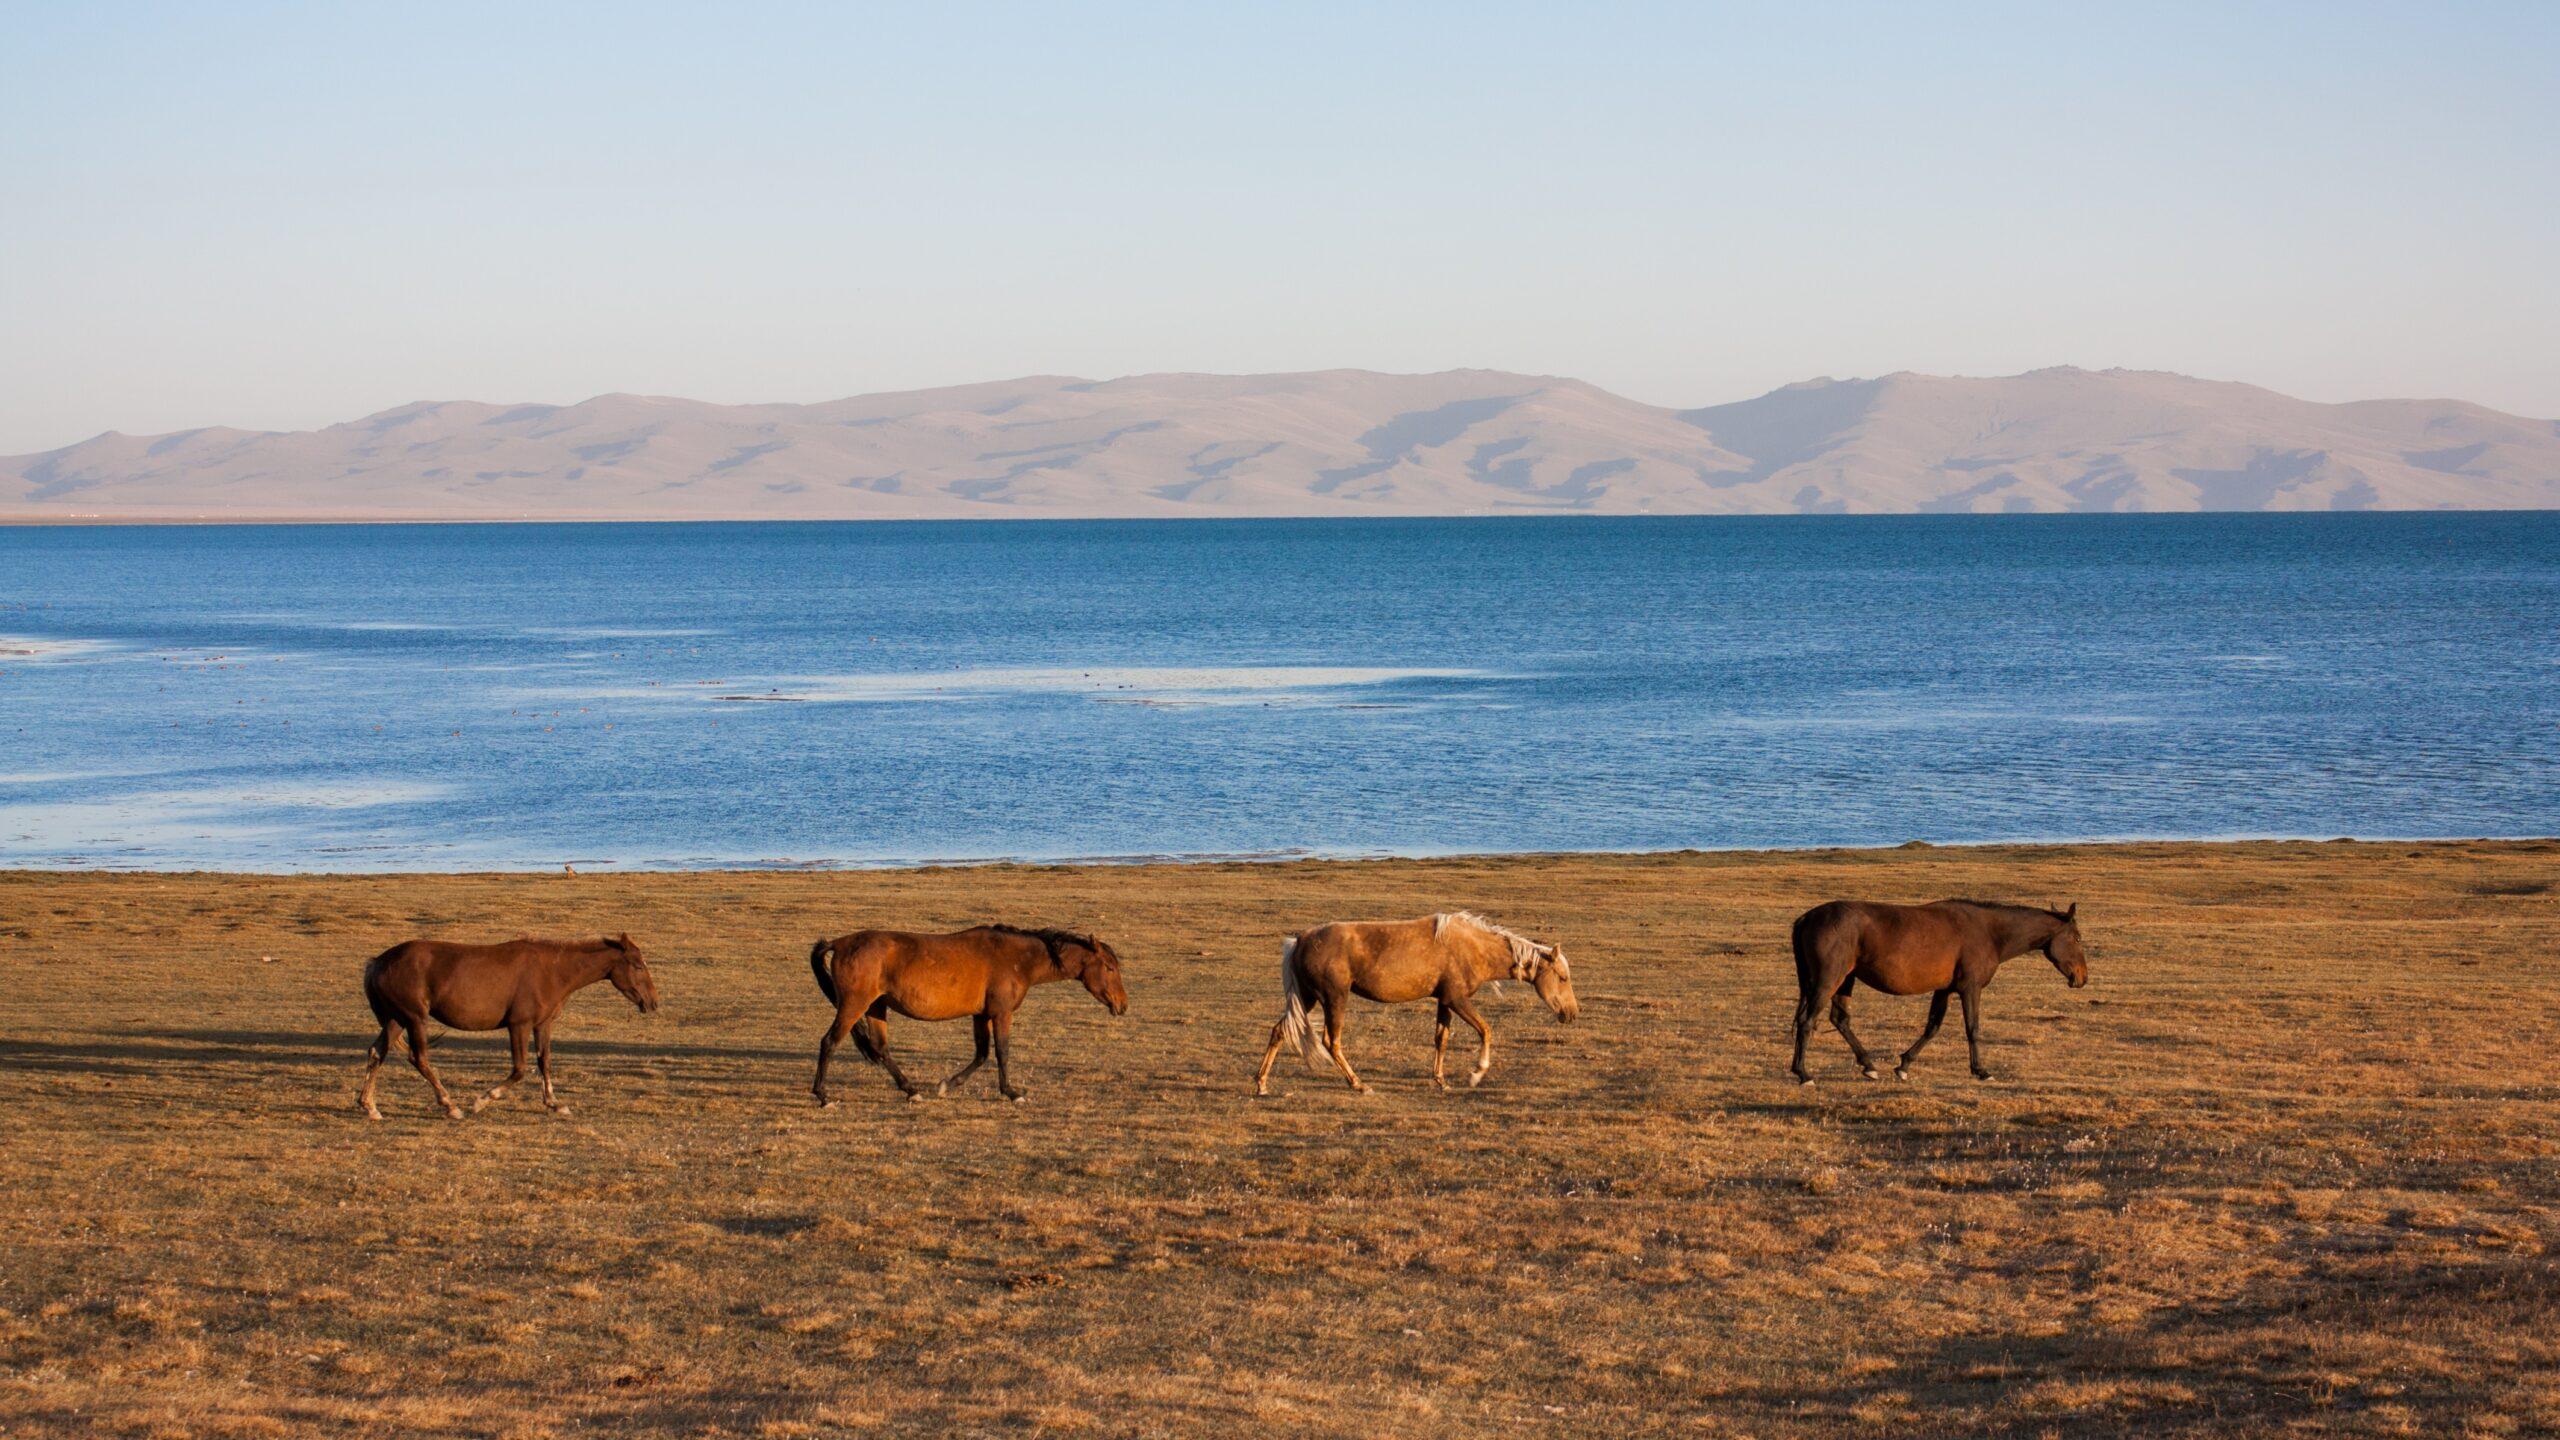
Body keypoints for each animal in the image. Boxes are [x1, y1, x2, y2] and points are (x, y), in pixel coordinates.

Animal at [358, 932, 660, 1122]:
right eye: (637, 965)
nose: (653, 1002)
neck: (552, 971)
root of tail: (378, 962)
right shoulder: (519, 1026)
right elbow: (520, 1069)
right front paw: (483, 1100)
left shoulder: (542, 1025)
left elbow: (544, 1062)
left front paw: (554, 1103)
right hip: (415, 1019)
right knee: (418, 1058)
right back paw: (450, 1105)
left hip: (396, 1019)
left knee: (376, 1053)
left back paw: (369, 1106)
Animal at [798, 922, 1121, 1101]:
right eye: (1109, 967)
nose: (1122, 1004)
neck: (1017, 959)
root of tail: (840, 943)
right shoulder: (1001, 1013)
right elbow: (1002, 1051)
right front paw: (1012, 1092)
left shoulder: (981, 1015)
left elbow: (982, 1054)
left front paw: (946, 1085)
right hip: (854, 1005)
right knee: (829, 1042)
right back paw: (823, 1095)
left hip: (876, 1007)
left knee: (880, 1048)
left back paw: (911, 1090)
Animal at [1249, 912, 1566, 1091]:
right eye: (1563, 977)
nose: (1570, 1013)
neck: (1472, 946)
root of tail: (1300, 940)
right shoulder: (1457, 999)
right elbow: (1485, 1030)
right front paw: (1477, 1074)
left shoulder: (1444, 1001)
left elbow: (1441, 1039)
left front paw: (1441, 1080)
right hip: (1333, 998)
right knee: (1331, 1041)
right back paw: (1358, 1084)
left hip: (1307, 998)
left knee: (1279, 1031)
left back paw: (1262, 1083)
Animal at [1792, 891, 2088, 1081]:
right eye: (2077, 938)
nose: (2082, 977)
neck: (1989, 932)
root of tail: (1806, 918)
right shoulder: (1970, 988)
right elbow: (1973, 1029)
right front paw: (1981, 1070)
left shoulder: (1944, 990)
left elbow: (1932, 1027)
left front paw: (1904, 1065)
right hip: (1828, 980)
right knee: (1808, 1021)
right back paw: (1803, 1073)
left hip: (1845, 980)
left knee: (1840, 1019)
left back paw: (1868, 1065)